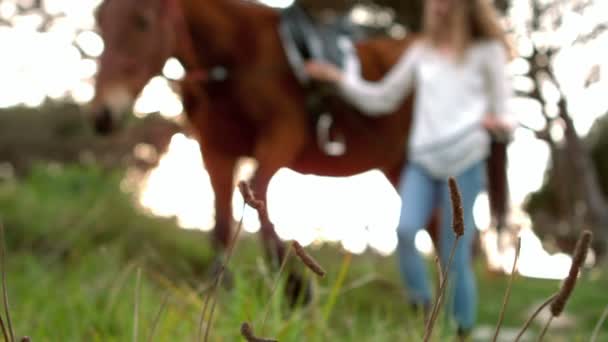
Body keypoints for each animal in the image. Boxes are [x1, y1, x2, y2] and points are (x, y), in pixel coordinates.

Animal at [89, 0, 508, 294]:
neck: (238, 57)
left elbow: (258, 200)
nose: (102, 115)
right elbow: (222, 224)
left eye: (142, 21)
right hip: (400, 168)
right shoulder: (216, 152)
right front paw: (220, 285)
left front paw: (294, 287)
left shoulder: (281, 138)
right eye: (99, 22)